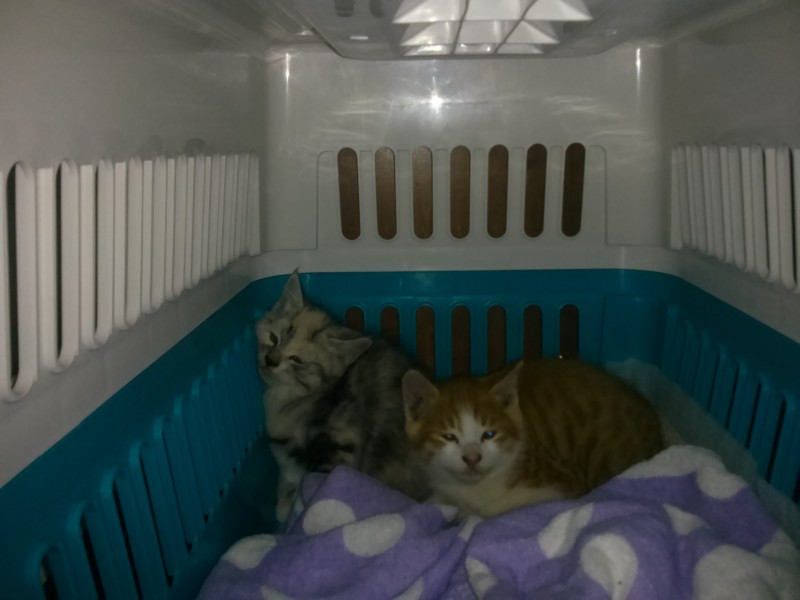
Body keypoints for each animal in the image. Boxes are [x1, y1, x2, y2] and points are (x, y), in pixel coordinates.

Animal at [257, 271, 428, 522]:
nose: (270, 360)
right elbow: (288, 476)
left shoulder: (340, 448)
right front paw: (284, 504)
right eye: (273, 338)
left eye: (297, 360)